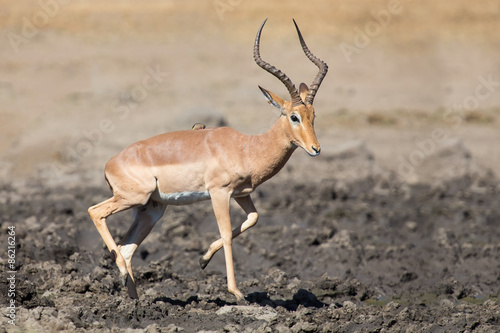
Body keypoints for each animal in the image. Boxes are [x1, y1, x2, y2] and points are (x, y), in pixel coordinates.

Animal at [88, 18, 328, 300]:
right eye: (294, 116)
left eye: (313, 115)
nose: (315, 148)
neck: (246, 148)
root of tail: (110, 163)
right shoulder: (219, 193)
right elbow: (226, 234)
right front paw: (237, 293)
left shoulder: (241, 193)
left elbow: (253, 219)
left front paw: (202, 260)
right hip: (132, 198)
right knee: (95, 212)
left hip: (151, 209)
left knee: (127, 248)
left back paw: (134, 297)